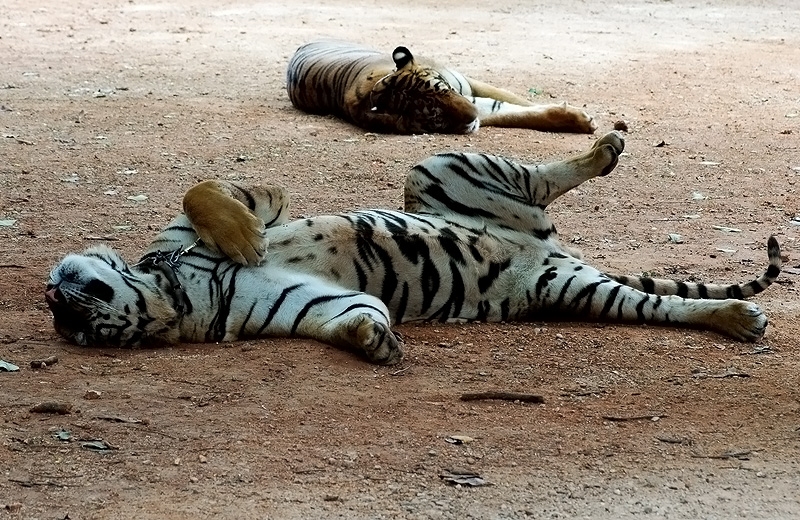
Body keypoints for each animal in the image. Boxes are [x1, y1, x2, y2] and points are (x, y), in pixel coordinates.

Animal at [47, 132, 780, 364]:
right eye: (77, 327)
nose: (55, 294)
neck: (175, 291)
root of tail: (542, 248)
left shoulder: (232, 207)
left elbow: (206, 192)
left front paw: (243, 238)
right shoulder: (299, 305)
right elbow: (348, 316)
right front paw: (374, 342)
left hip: (440, 165)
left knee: (546, 175)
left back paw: (605, 147)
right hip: (571, 290)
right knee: (662, 307)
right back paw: (735, 318)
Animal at [290, 39, 600, 135]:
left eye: (443, 89)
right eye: (434, 115)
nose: (472, 116)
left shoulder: (469, 85)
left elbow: (520, 104)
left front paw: (583, 120)